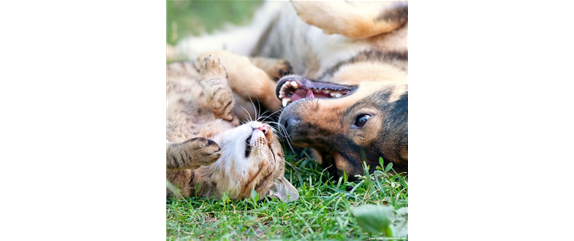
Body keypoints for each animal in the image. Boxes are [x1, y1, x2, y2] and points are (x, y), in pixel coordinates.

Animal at [166, 53, 300, 202]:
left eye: (272, 152)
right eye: (272, 131)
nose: (264, 127)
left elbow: (173, 157)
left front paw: (196, 151)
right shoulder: (226, 117)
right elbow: (222, 99)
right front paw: (213, 68)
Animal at [169, 0, 408, 181]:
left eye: (330, 160)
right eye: (362, 119)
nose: (286, 124)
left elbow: (260, 86)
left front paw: (226, 62)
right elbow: (372, 20)